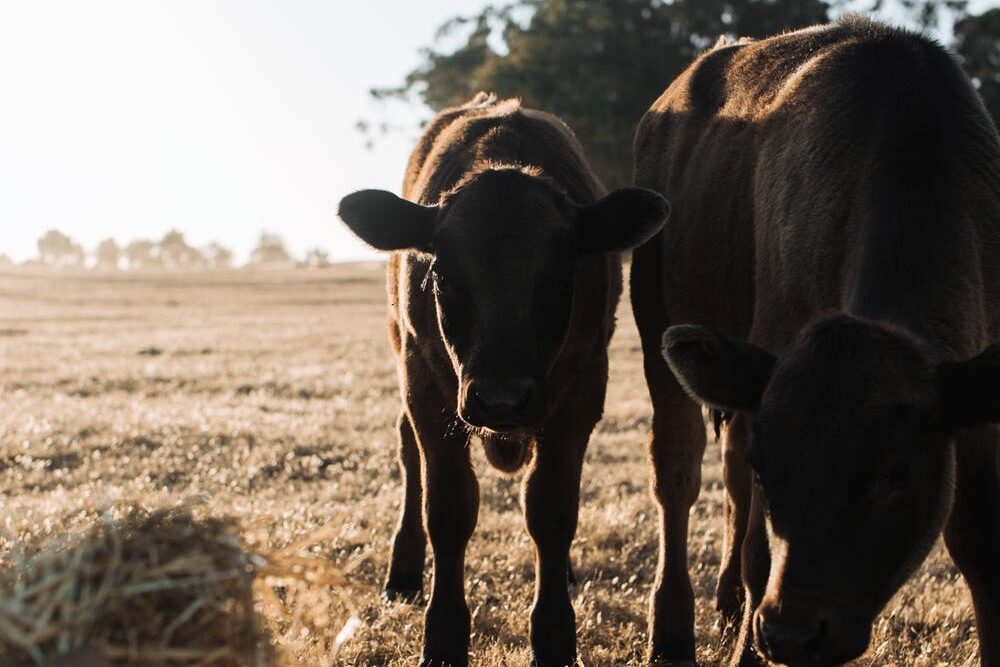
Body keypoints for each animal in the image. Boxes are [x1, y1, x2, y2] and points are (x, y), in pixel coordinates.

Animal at [338, 95, 672, 667]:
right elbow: (448, 509)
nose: (501, 399)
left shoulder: (583, 388)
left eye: (563, 275)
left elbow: (551, 510)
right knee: (408, 454)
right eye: (441, 275)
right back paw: (403, 575)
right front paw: (443, 639)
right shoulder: (428, 387)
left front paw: (555, 637)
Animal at [632, 15, 1000, 667]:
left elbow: (980, 544)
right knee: (678, 470)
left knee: (727, 480)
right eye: (772, 468)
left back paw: (729, 609)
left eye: (898, 472)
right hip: (657, 325)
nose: (793, 634)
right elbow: (759, 550)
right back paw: (673, 632)